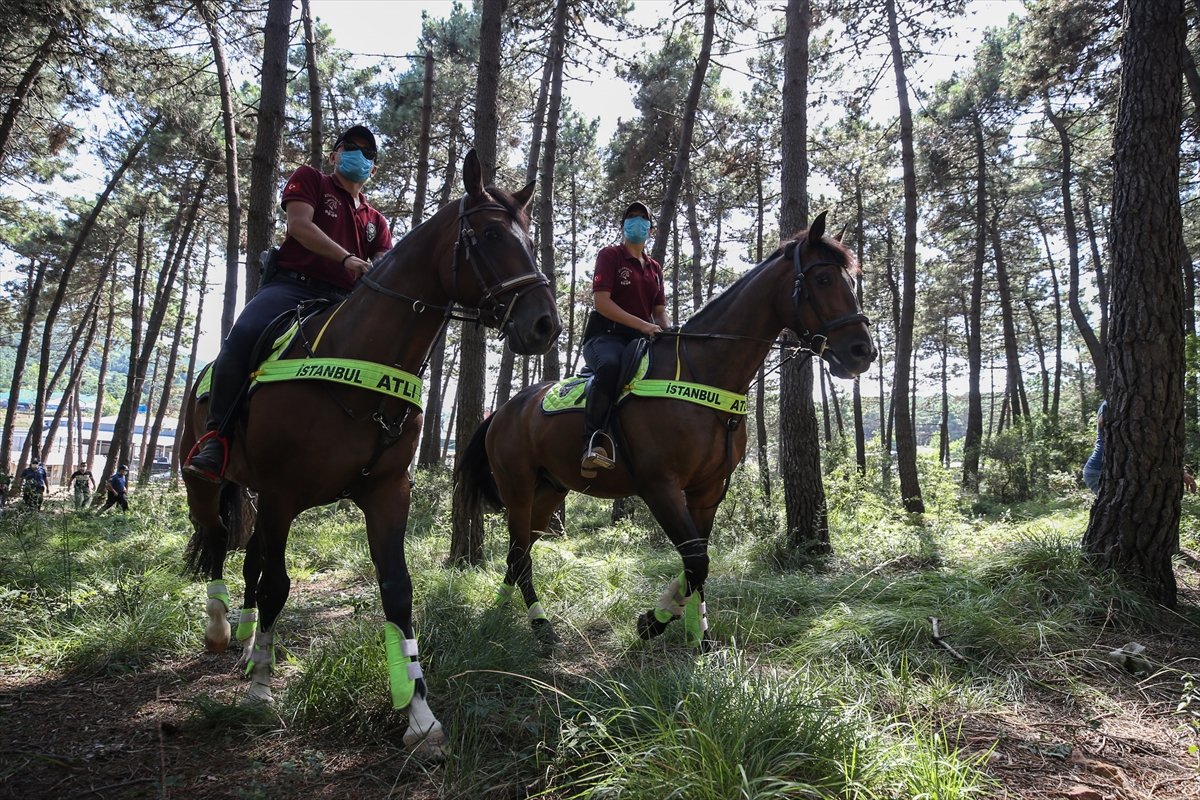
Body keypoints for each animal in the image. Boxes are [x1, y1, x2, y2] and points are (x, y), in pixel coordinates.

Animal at [178, 149, 561, 758]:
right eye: (489, 236)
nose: (546, 324)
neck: (358, 364)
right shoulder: (284, 493)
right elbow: (280, 585)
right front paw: (261, 687)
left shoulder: (385, 492)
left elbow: (396, 592)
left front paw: (420, 714)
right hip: (207, 479)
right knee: (216, 538)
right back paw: (221, 630)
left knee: (251, 559)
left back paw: (246, 641)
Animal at [453, 211, 878, 652]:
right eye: (823, 279)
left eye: (851, 280)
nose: (863, 352)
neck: (703, 372)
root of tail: (503, 410)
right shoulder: (660, 487)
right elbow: (696, 561)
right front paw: (653, 622)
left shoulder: (707, 490)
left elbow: (698, 561)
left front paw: (698, 634)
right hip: (517, 485)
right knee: (520, 553)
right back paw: (539, 624)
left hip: (551, 489)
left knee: (518, 551)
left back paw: (501, 609)